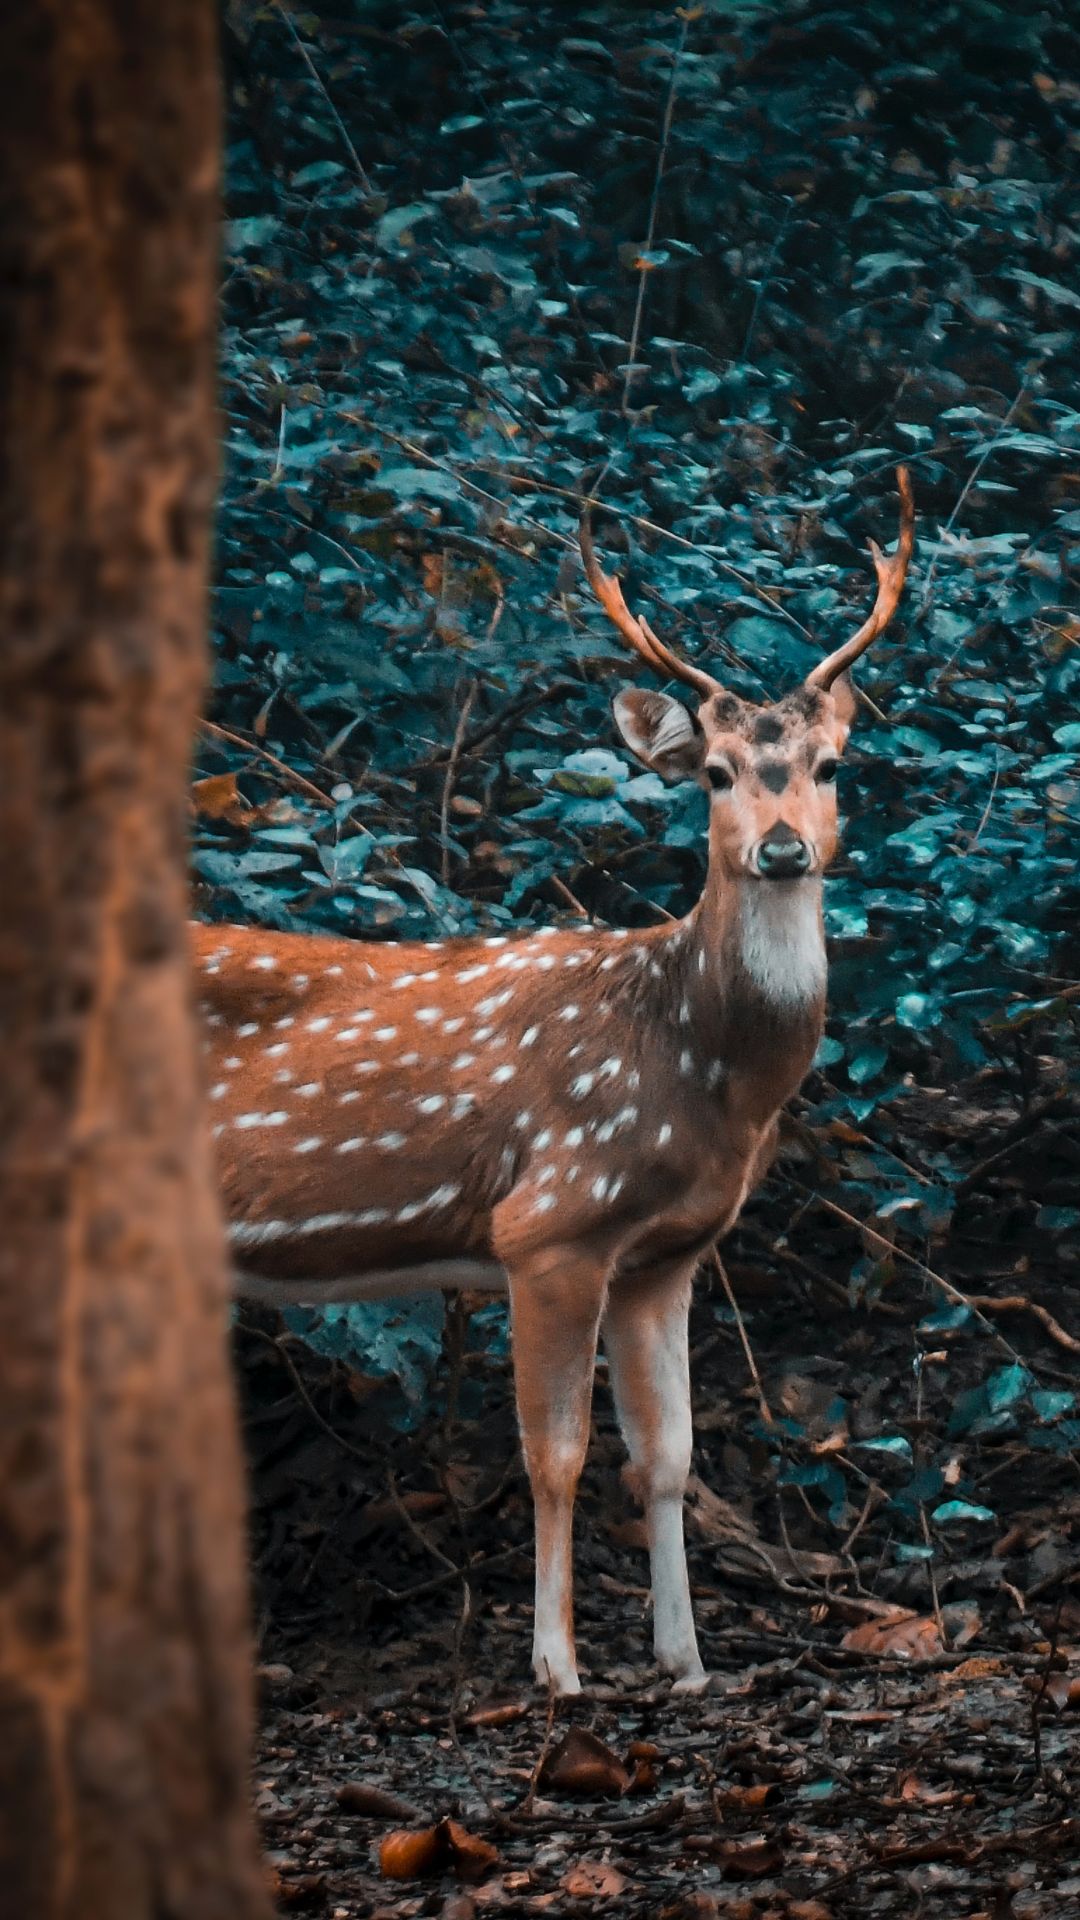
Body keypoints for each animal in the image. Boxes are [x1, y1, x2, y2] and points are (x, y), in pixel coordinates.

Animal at [195, 469, 914, 1697]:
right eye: (715, 773)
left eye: (829, 767)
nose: (781, 851)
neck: (700, 1074)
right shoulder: (550, 1225)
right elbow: (557, 1458)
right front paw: (557, 1666)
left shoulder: (665, 1256)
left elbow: (669, 1458)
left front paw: (687, 1663)